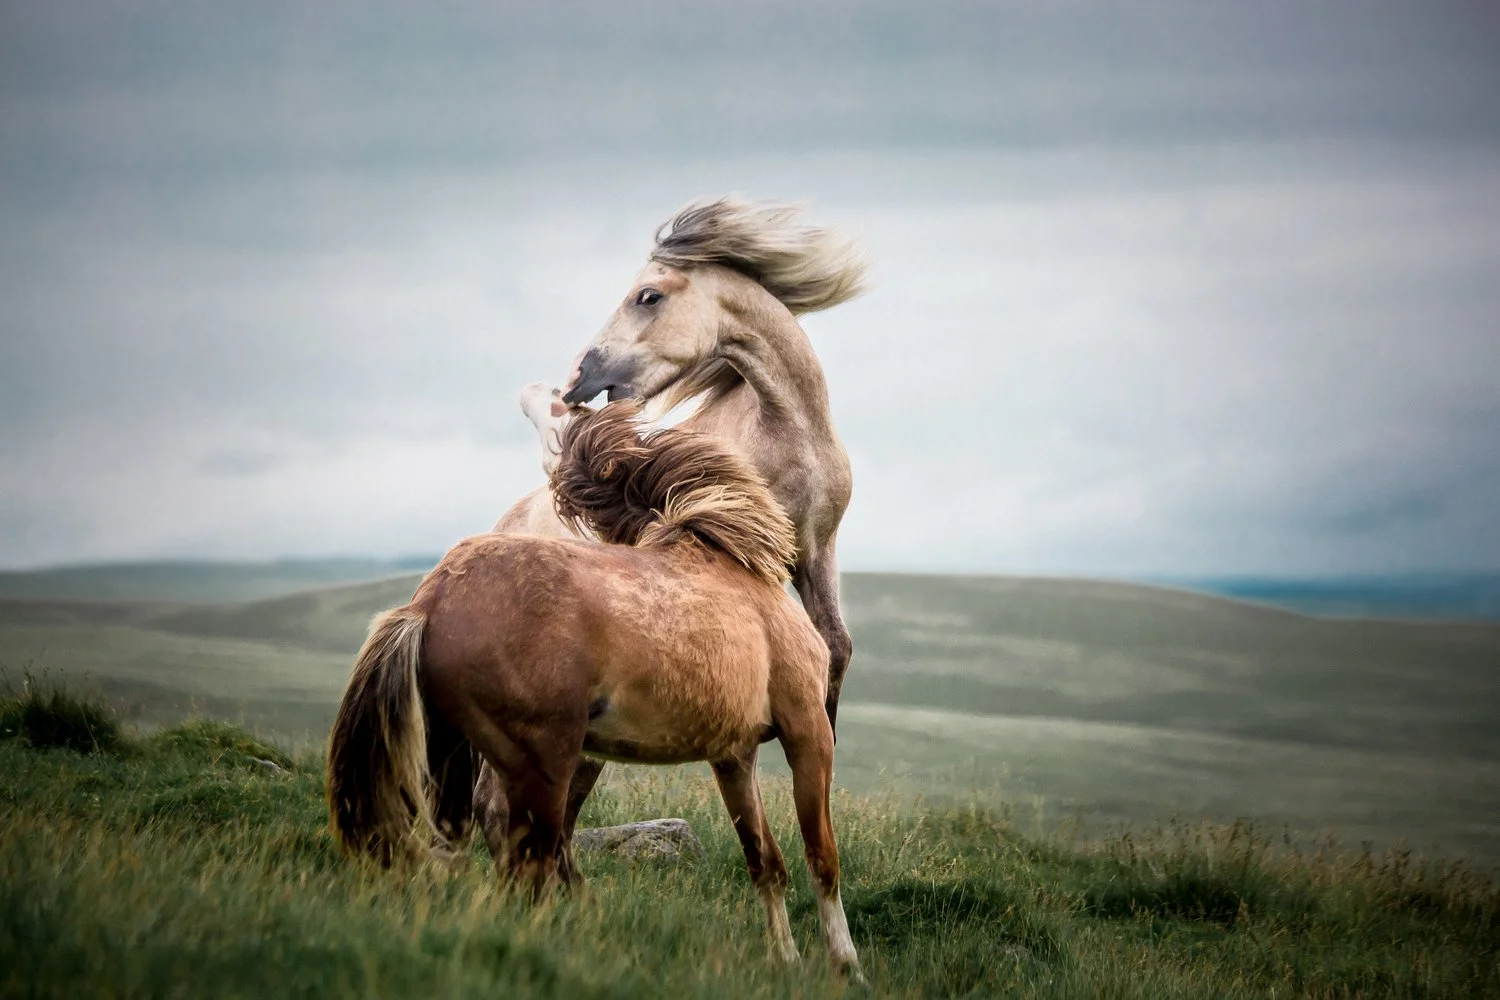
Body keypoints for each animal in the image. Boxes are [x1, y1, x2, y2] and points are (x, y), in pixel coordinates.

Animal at [328, 401, 863, 978]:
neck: (738, 568)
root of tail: (428, 603)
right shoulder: (807, 730)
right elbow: (822, 857)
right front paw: (846, 965)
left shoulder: (733, 755)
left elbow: (764, 861)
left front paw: (784, 958)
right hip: (544, 764)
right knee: (532, 865)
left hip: (450, 752)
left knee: (471, 845)